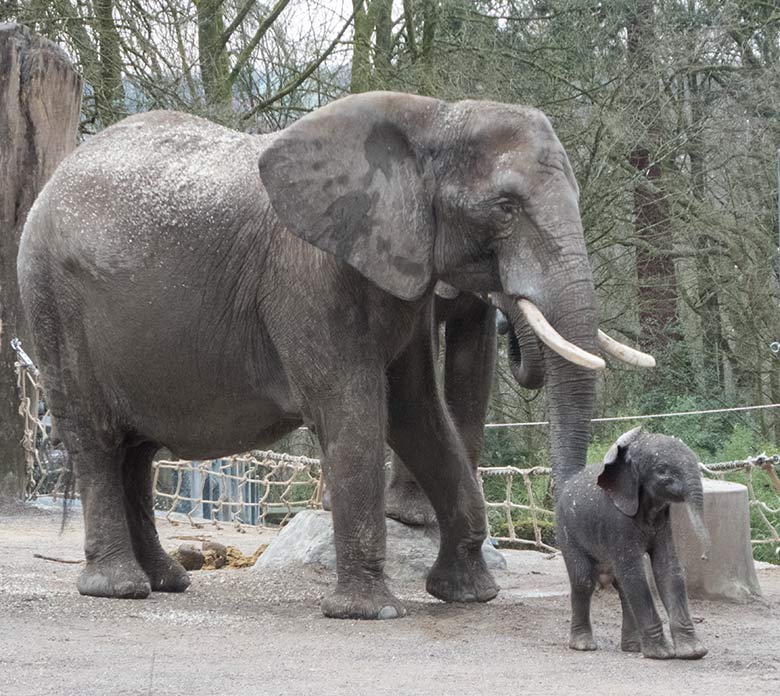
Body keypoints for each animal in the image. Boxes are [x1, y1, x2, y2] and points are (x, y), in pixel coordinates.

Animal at [16, 91, 644, 620]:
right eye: (506, 207)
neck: (431, 118)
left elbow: (417, 413)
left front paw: (468, 595)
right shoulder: (309, 277)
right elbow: (354, 412)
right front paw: (371, 613)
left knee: (137, 451)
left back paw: (168, 581)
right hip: (52, 303)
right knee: (98, 439)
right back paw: (120, 588)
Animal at [556, 426, 708, 660]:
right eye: (663, 470)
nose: (705, 555)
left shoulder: (664, 522)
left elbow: (668, 569)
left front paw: (693, 653)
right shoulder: (616, 518)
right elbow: (634, 573)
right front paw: (662, 654)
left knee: (622, 585)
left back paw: (633, 647)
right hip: (567, 529)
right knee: (584, 580)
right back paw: (584, 646)